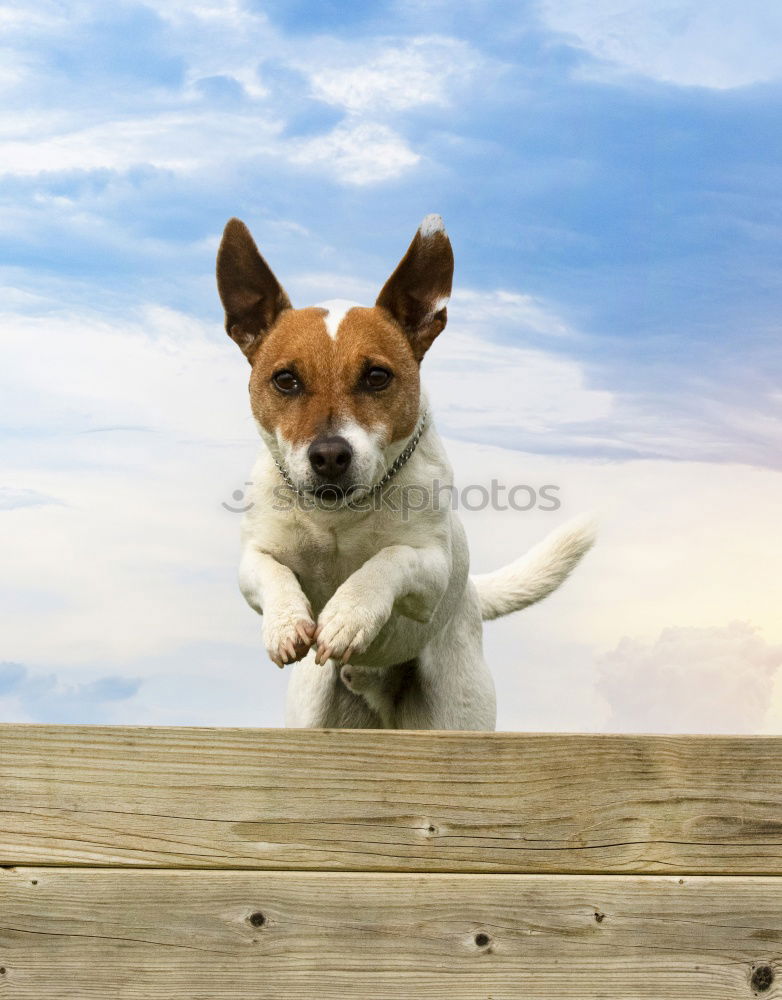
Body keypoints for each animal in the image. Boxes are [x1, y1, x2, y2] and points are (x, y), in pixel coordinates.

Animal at [214, 213, 596, 728]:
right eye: (285, 380)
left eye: (377, 376)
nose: (329, 455)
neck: (341, 515)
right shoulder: (254, 558)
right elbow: (270, 572)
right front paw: (285, 622)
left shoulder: (431, 567)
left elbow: (388, 560)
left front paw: (348, 614)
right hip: (315, 711)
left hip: (455, 709)